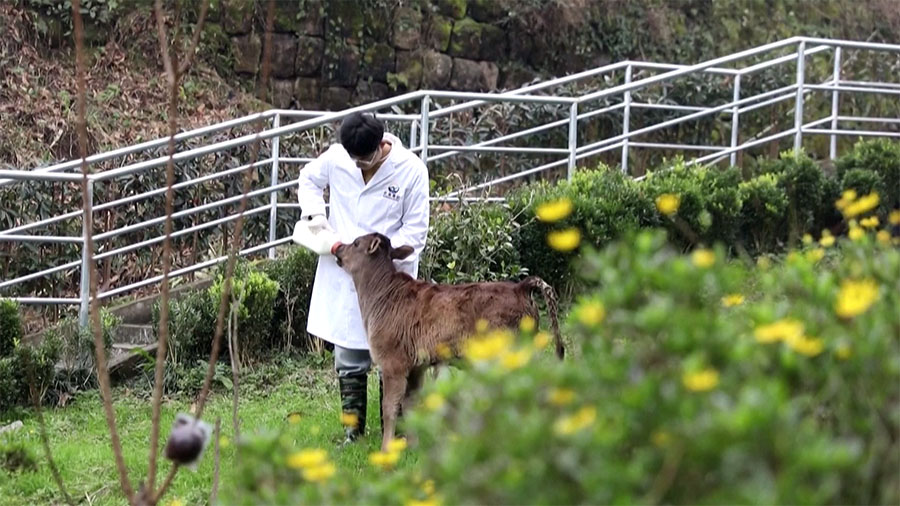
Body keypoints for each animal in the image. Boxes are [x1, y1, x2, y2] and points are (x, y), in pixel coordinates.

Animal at [334, 232, 568, 450]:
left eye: (356, 243)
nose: (338, 250)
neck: (378, 296)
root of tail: (520, 287)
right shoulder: (417, 366)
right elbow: (411, 405)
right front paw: (413, 447)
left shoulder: (393, 361)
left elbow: (390, 407)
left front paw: (386, 450)